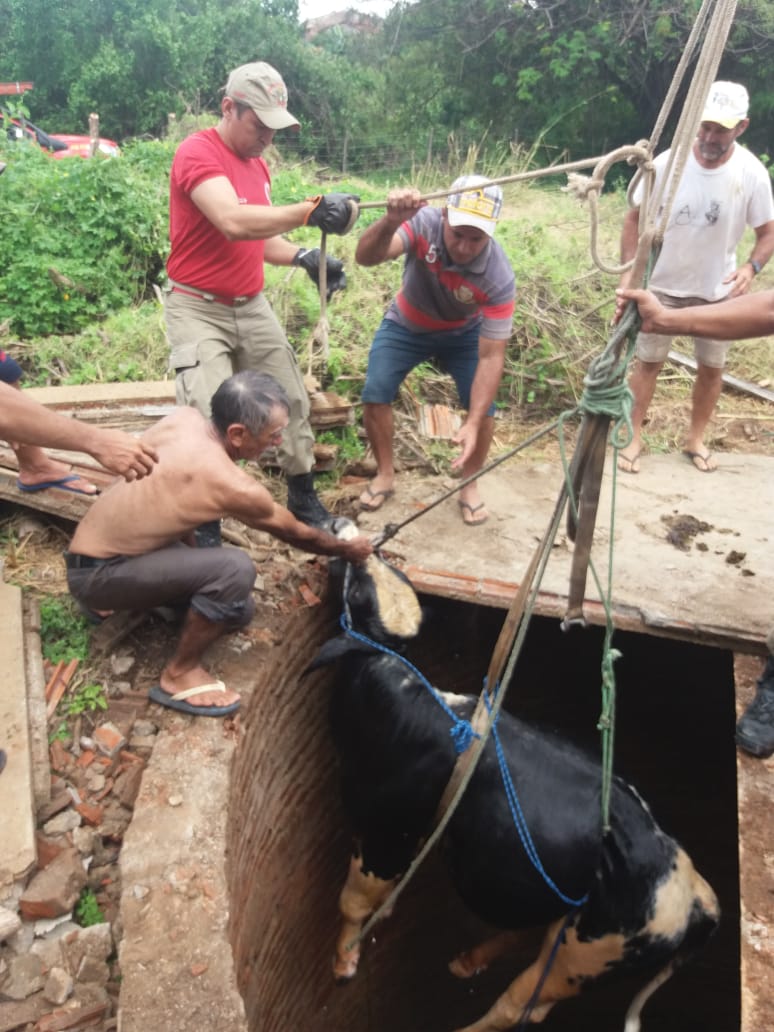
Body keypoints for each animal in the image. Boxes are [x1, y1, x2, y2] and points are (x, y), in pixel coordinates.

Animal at [309, 553, 722, 1032]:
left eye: (359, 592)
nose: (345, 545)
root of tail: (693, 890)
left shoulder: (384, 834)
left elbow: (354, 902)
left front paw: (343, 963)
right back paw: (468, 960)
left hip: (581, 958)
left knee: (520, 1006)